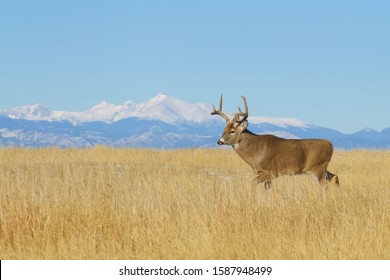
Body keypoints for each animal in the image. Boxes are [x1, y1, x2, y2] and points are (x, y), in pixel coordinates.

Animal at [210, 95, 338, 189]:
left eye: (232, 131)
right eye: (223, 130)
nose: (219, 141)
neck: (254, 152)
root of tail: (331, 145)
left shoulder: (270, 171)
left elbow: (252, 184)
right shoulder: (264, 174)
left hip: (318, 168)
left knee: (325, 185)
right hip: (322, 168)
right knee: (335, 177)